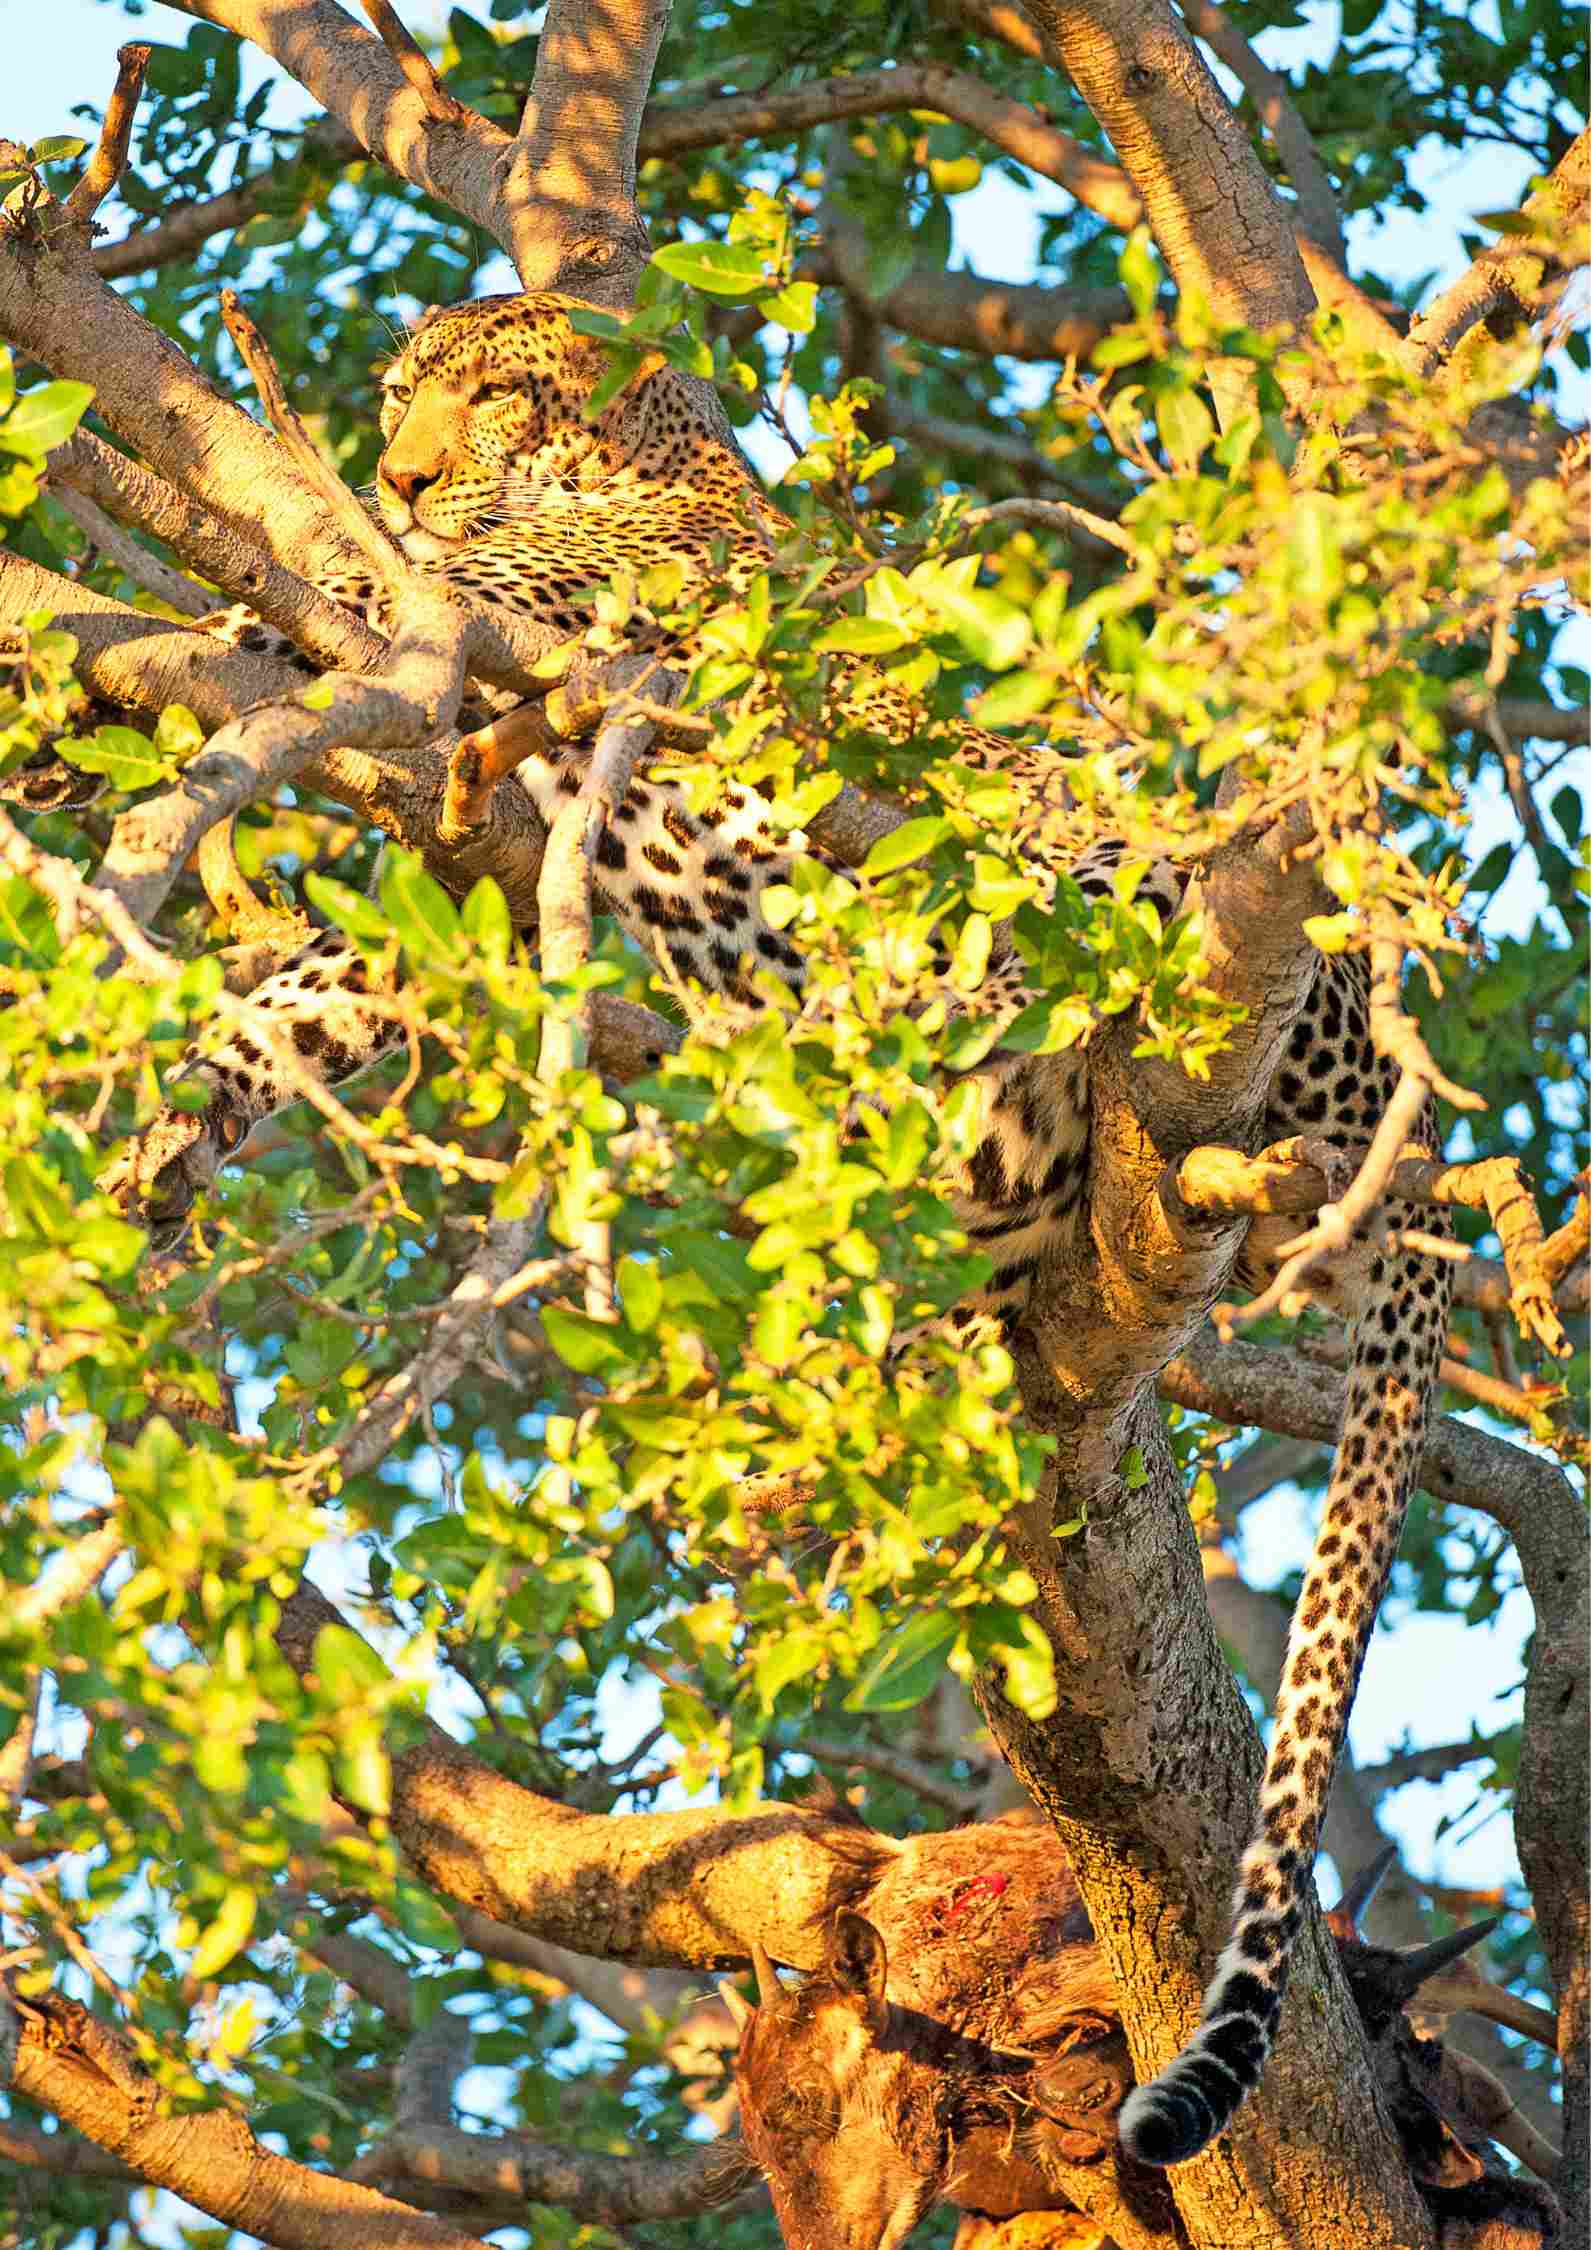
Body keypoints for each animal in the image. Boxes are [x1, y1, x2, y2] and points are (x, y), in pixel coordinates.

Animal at [23, 291, 1453, 2169]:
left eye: (490, 398)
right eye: (401, 394)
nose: (394, 471)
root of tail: (1398, 1134)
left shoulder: (545, 617)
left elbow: (321, 620)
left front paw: (86, 675)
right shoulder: (484, 835)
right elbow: (323, 978)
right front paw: (185, 1116)